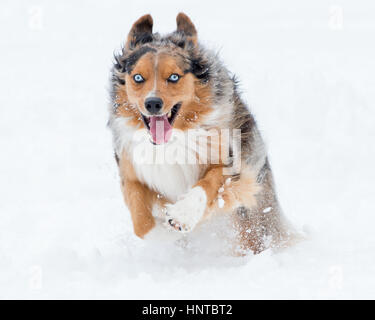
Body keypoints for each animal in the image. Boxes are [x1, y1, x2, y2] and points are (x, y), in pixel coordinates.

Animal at [107, 12, 296, 254]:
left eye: (174, 77)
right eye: (138, 78)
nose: (152, 103)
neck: (173, 140)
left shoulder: (234, 162)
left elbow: (208, 183)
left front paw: (181, 216)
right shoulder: (130, 169)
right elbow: (140, 219)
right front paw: (164, 235)